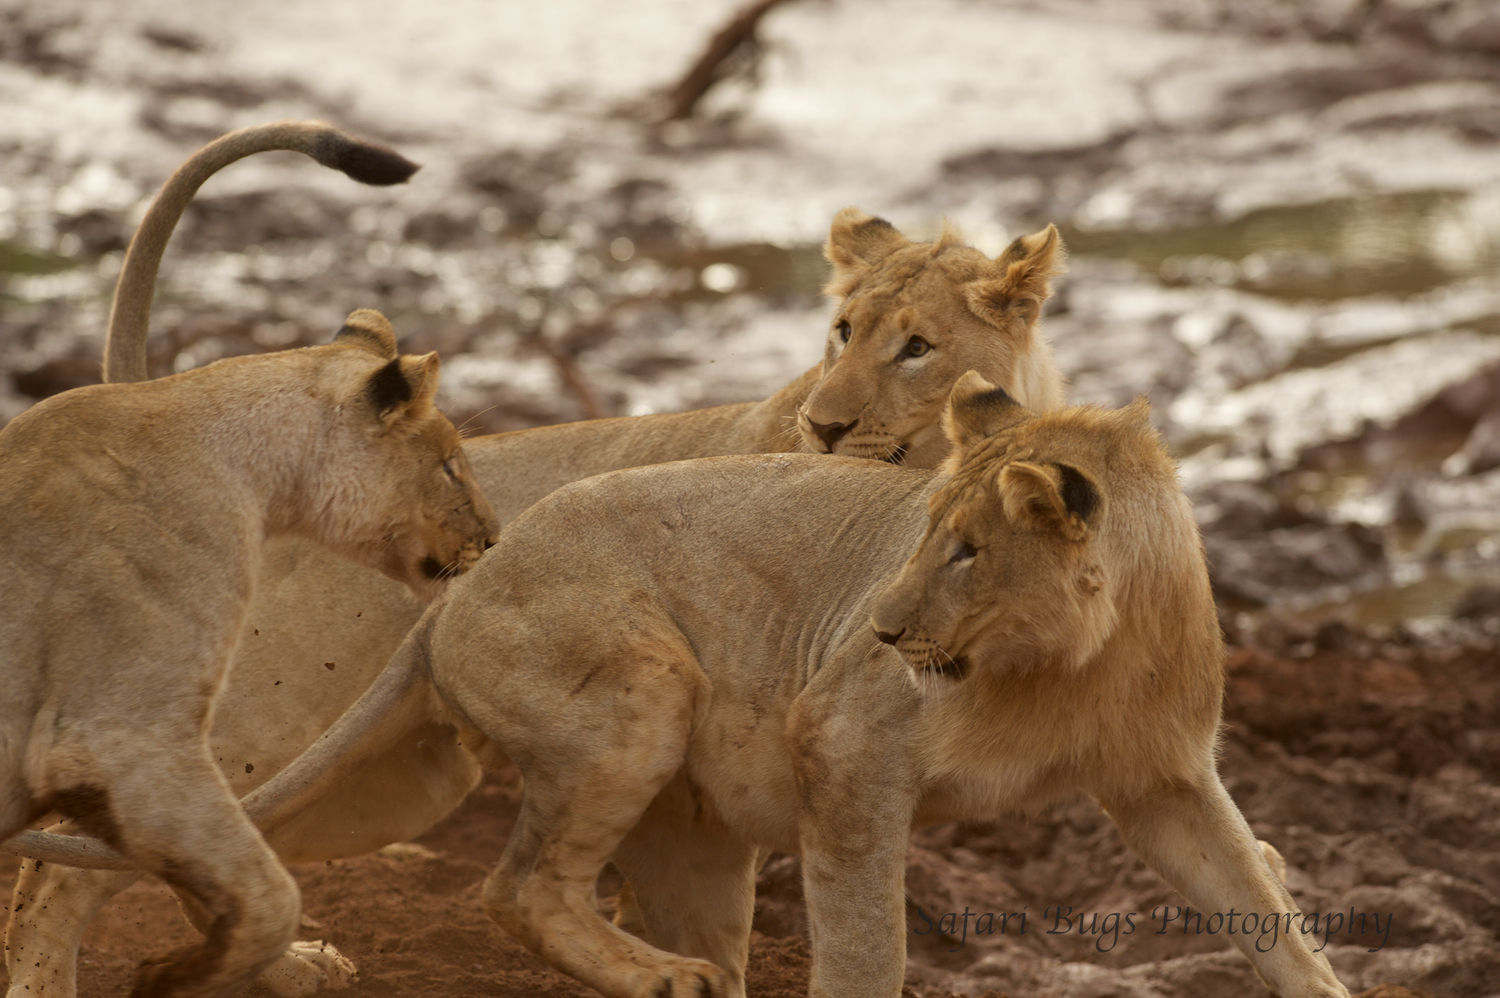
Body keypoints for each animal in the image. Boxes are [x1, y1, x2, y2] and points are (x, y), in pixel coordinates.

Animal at [217, 373, 1356, 996]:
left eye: (969, 551)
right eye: (927, 531)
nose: (885, 628)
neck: (1075, 663)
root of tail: (458, 589)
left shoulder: (1166, 776)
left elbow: (1260, 905)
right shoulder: (846, 743)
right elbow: (865, 943)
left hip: (688, 837)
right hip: (643, 686)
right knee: (518, 886)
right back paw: (663, 976)